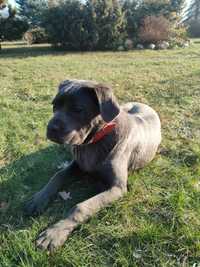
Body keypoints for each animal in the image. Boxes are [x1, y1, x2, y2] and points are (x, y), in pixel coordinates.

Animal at [24, 79, 161, 251]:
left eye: (78, 109)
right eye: (54, 105)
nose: (51, 128)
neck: (94, 141)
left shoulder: (117, 188)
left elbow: (81, 206)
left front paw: (54, 233)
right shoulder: (77, 165)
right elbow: (58, 175)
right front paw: (38, 199)